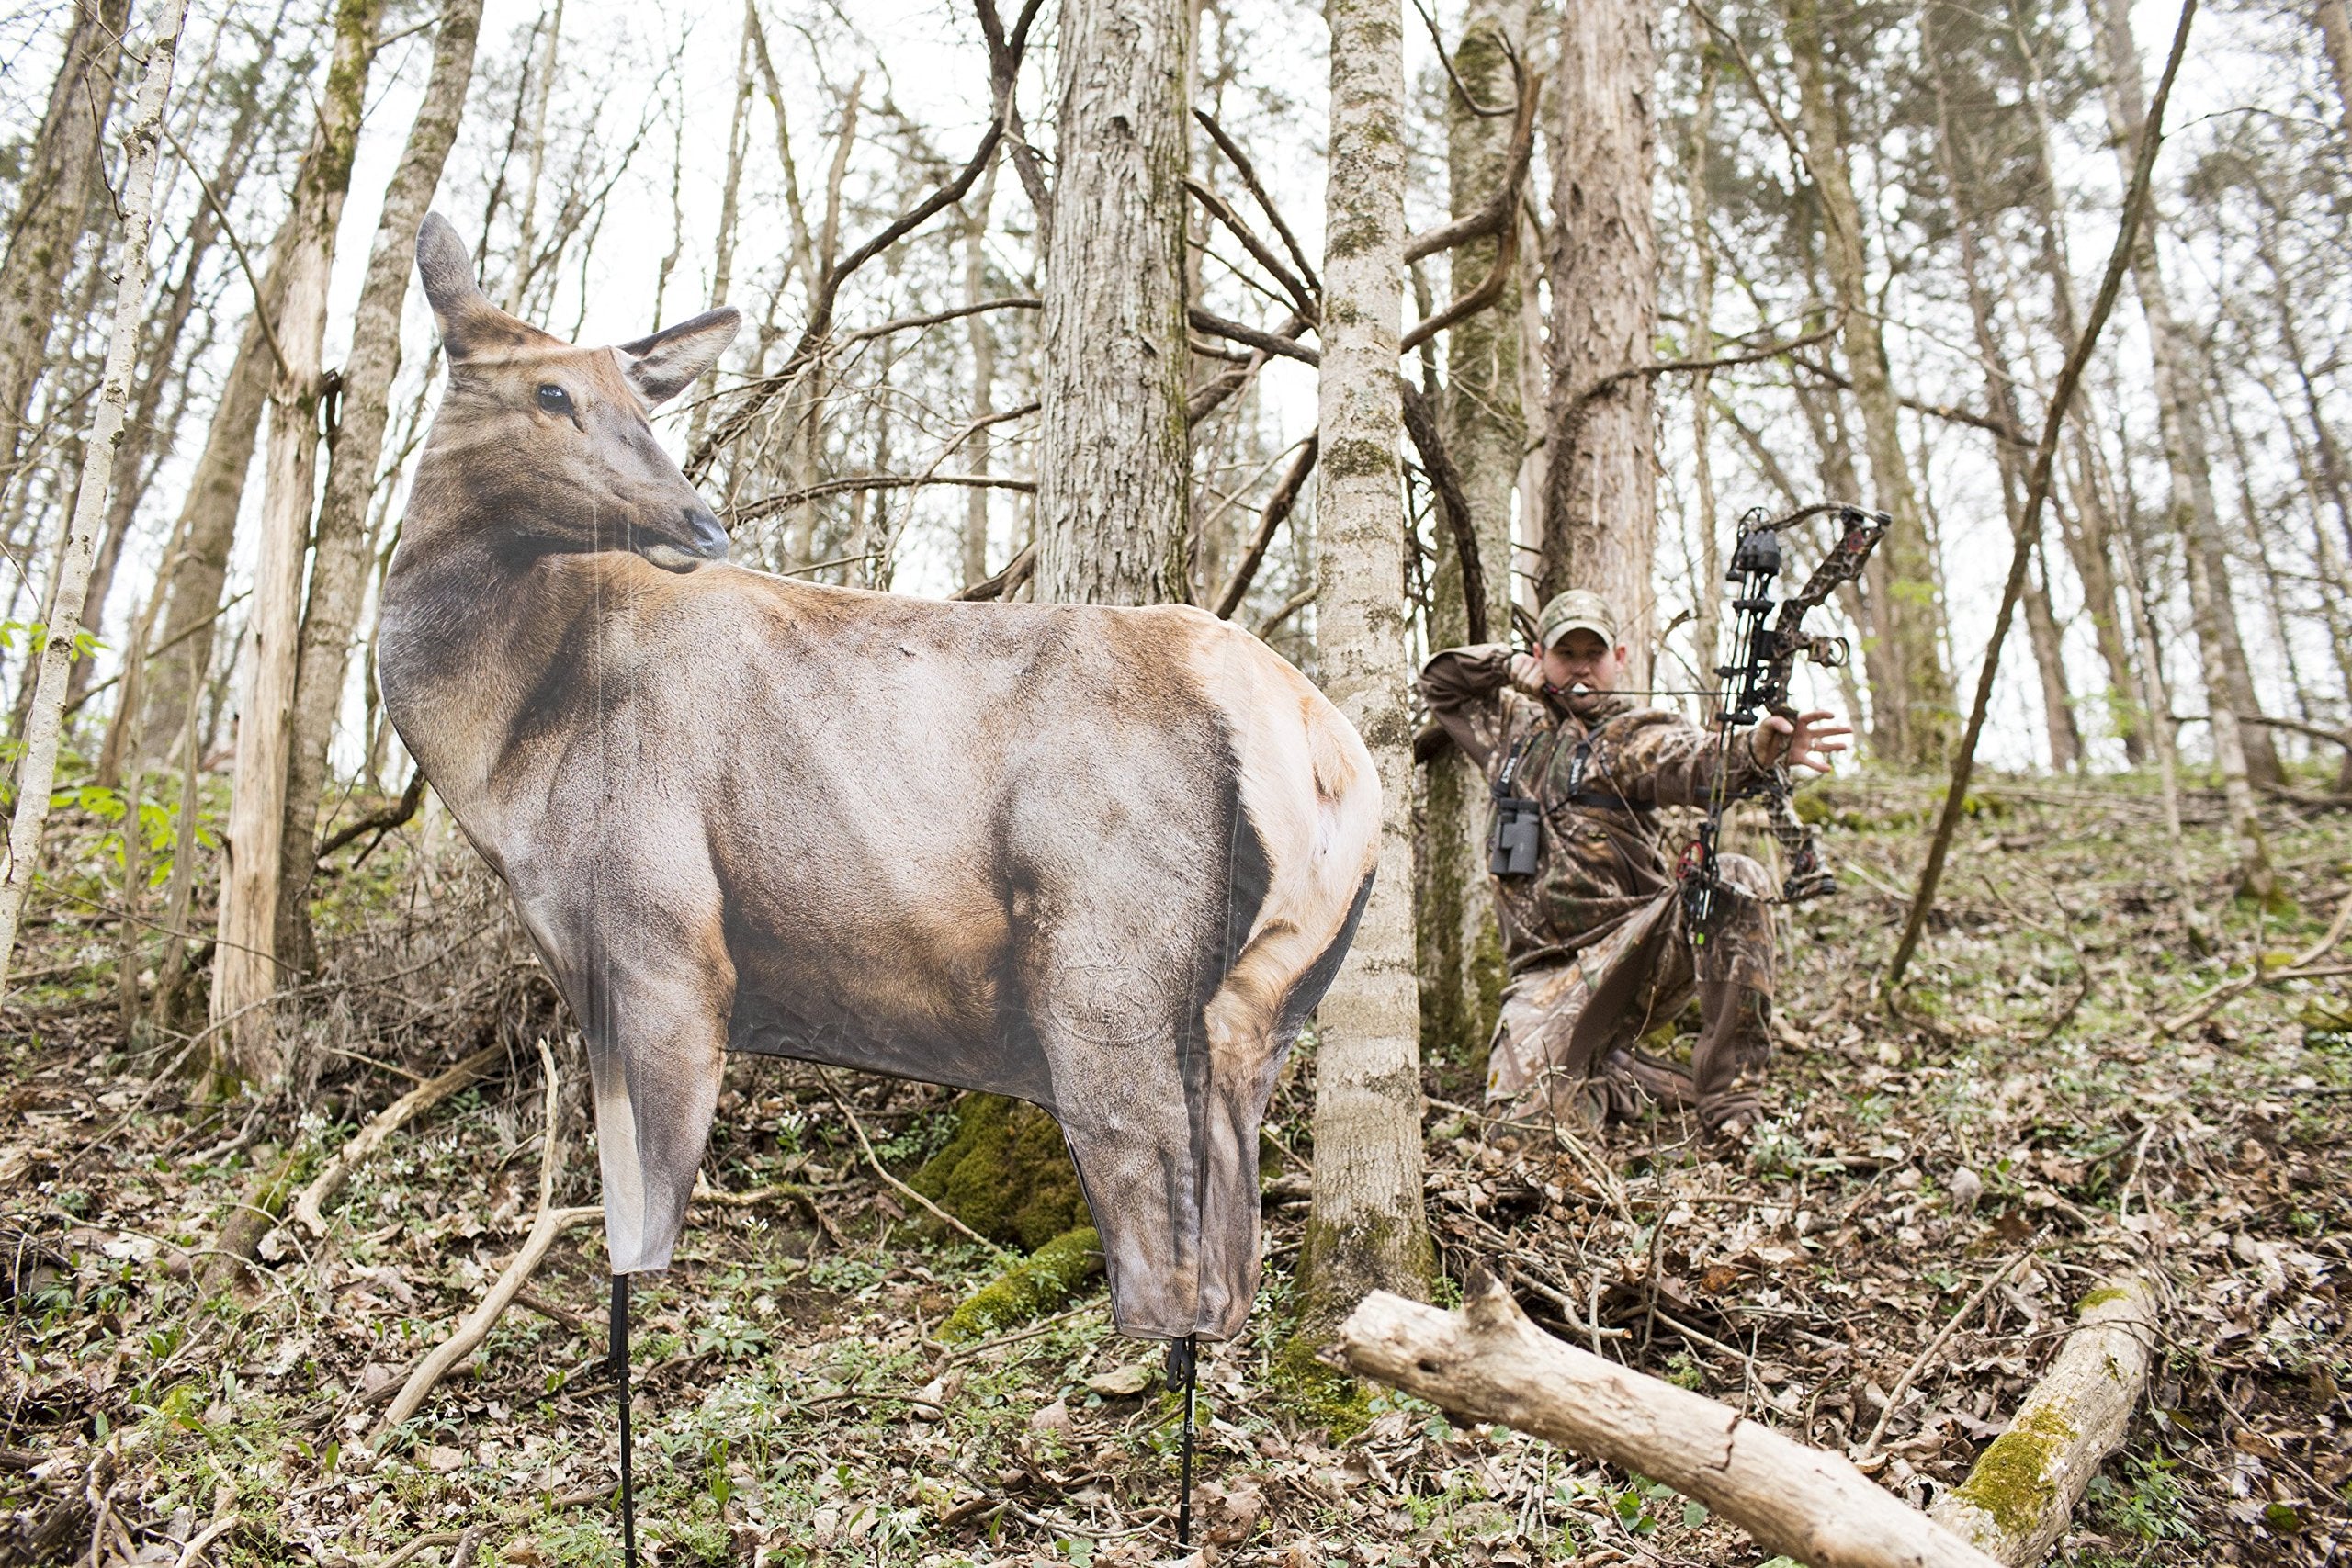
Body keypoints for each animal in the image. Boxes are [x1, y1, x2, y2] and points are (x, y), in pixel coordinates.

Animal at [377, 214, 1380, 1346]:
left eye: (641, 401)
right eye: (549, 391)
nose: (702, 522)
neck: (505, 754)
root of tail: (1324, 743)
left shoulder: (666, 941)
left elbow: (650, 1222)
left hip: (1106, 965)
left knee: (1163, 1245)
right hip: (1267, 998)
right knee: (1230, 1250)